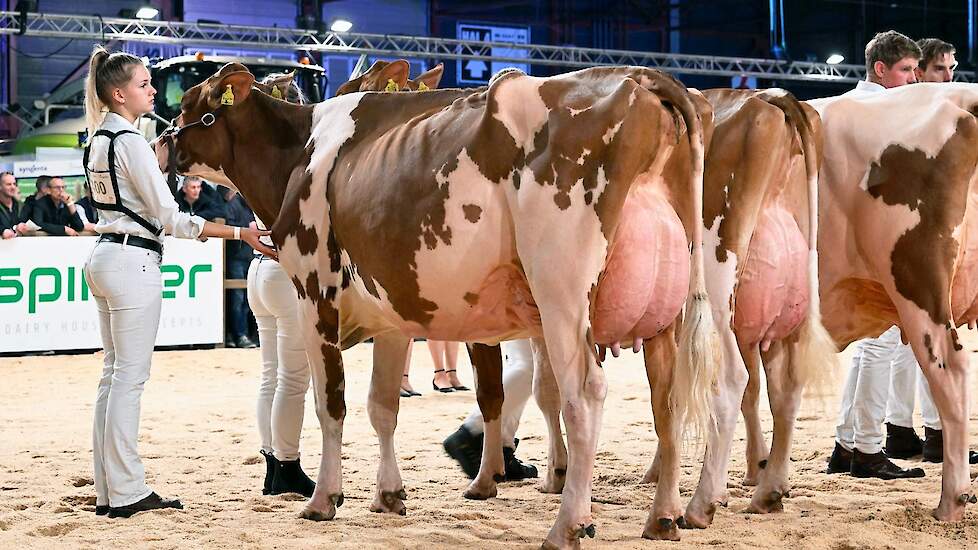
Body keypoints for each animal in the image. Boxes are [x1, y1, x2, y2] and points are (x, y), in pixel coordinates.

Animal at [156, 59, 712, 548]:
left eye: (189, 105)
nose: (161, 141)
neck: (299, 152)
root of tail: (638, 78)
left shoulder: (315, 294)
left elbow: (331, 403)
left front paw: (323, 499)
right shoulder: (392, 317)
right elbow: (382, 406)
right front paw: (388, 495)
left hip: (563, 296)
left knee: (585, 396)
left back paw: (569, 525)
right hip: (666, 315)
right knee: (668, 402)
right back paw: (664, 518)